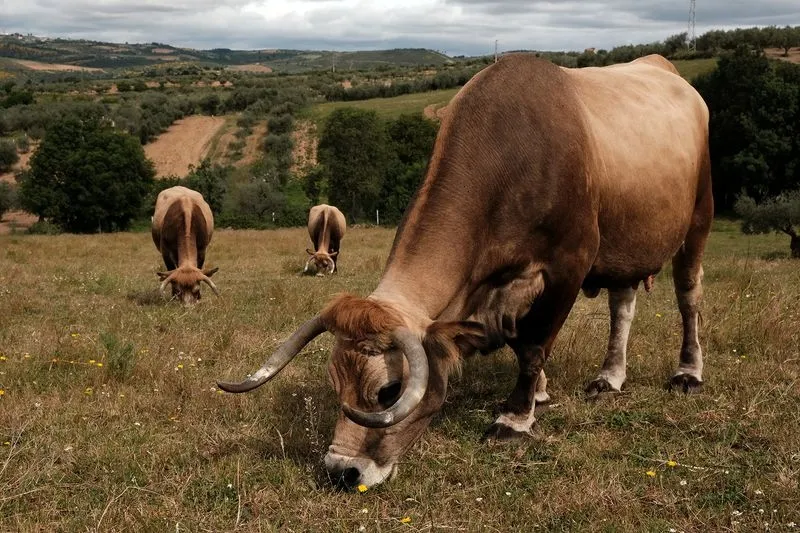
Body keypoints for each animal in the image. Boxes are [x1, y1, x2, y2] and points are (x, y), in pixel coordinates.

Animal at [217, 54, 713, 489]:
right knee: (622, 306)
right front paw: (539, 393)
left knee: (688, 297)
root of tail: (666, 70)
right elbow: (523, 342)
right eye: (336, 383)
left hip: (696, 222)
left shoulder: (569, 265)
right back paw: (609, 377)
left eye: (388, 391)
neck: (515, 153)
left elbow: (533, 346)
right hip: (626, 247)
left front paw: (516, 416)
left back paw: (688, 372)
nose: (342, 472)